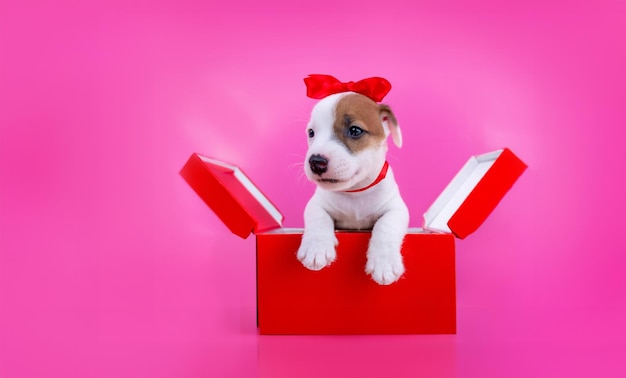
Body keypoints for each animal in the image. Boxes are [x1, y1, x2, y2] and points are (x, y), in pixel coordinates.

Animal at [298, 91, 410, 284]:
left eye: (355, 130)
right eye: (311, 132)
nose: (316, 162)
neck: (356, 192)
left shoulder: (397, 209)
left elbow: (386, 225)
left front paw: (384, 262)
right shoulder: (316, 203)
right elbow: (318, 217)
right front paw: (316, 248)